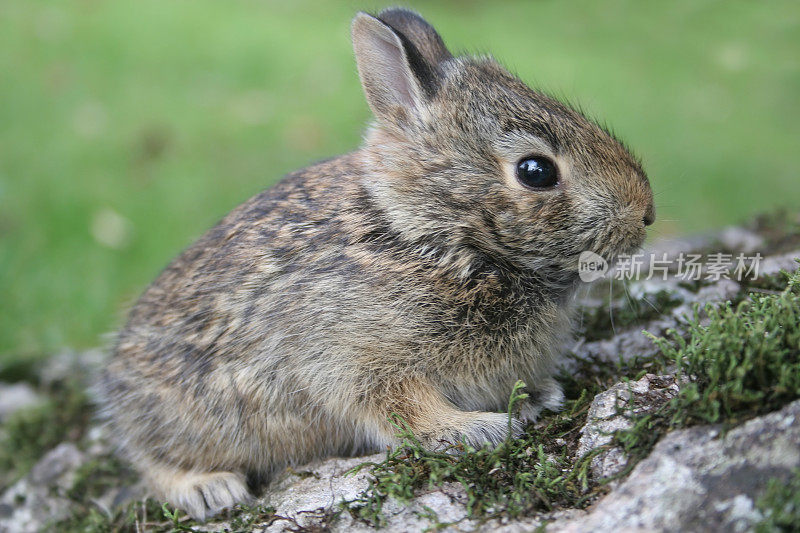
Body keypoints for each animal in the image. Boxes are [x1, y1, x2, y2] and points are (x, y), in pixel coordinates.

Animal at [97, 5, 656, 520]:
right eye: (536, 171)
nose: (646, 213)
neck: (431, 236)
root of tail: (117, 373)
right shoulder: (353, 358)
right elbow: (399, 409)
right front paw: (476, 429)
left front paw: (537, 396)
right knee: (151, 459)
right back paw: (208, 489)